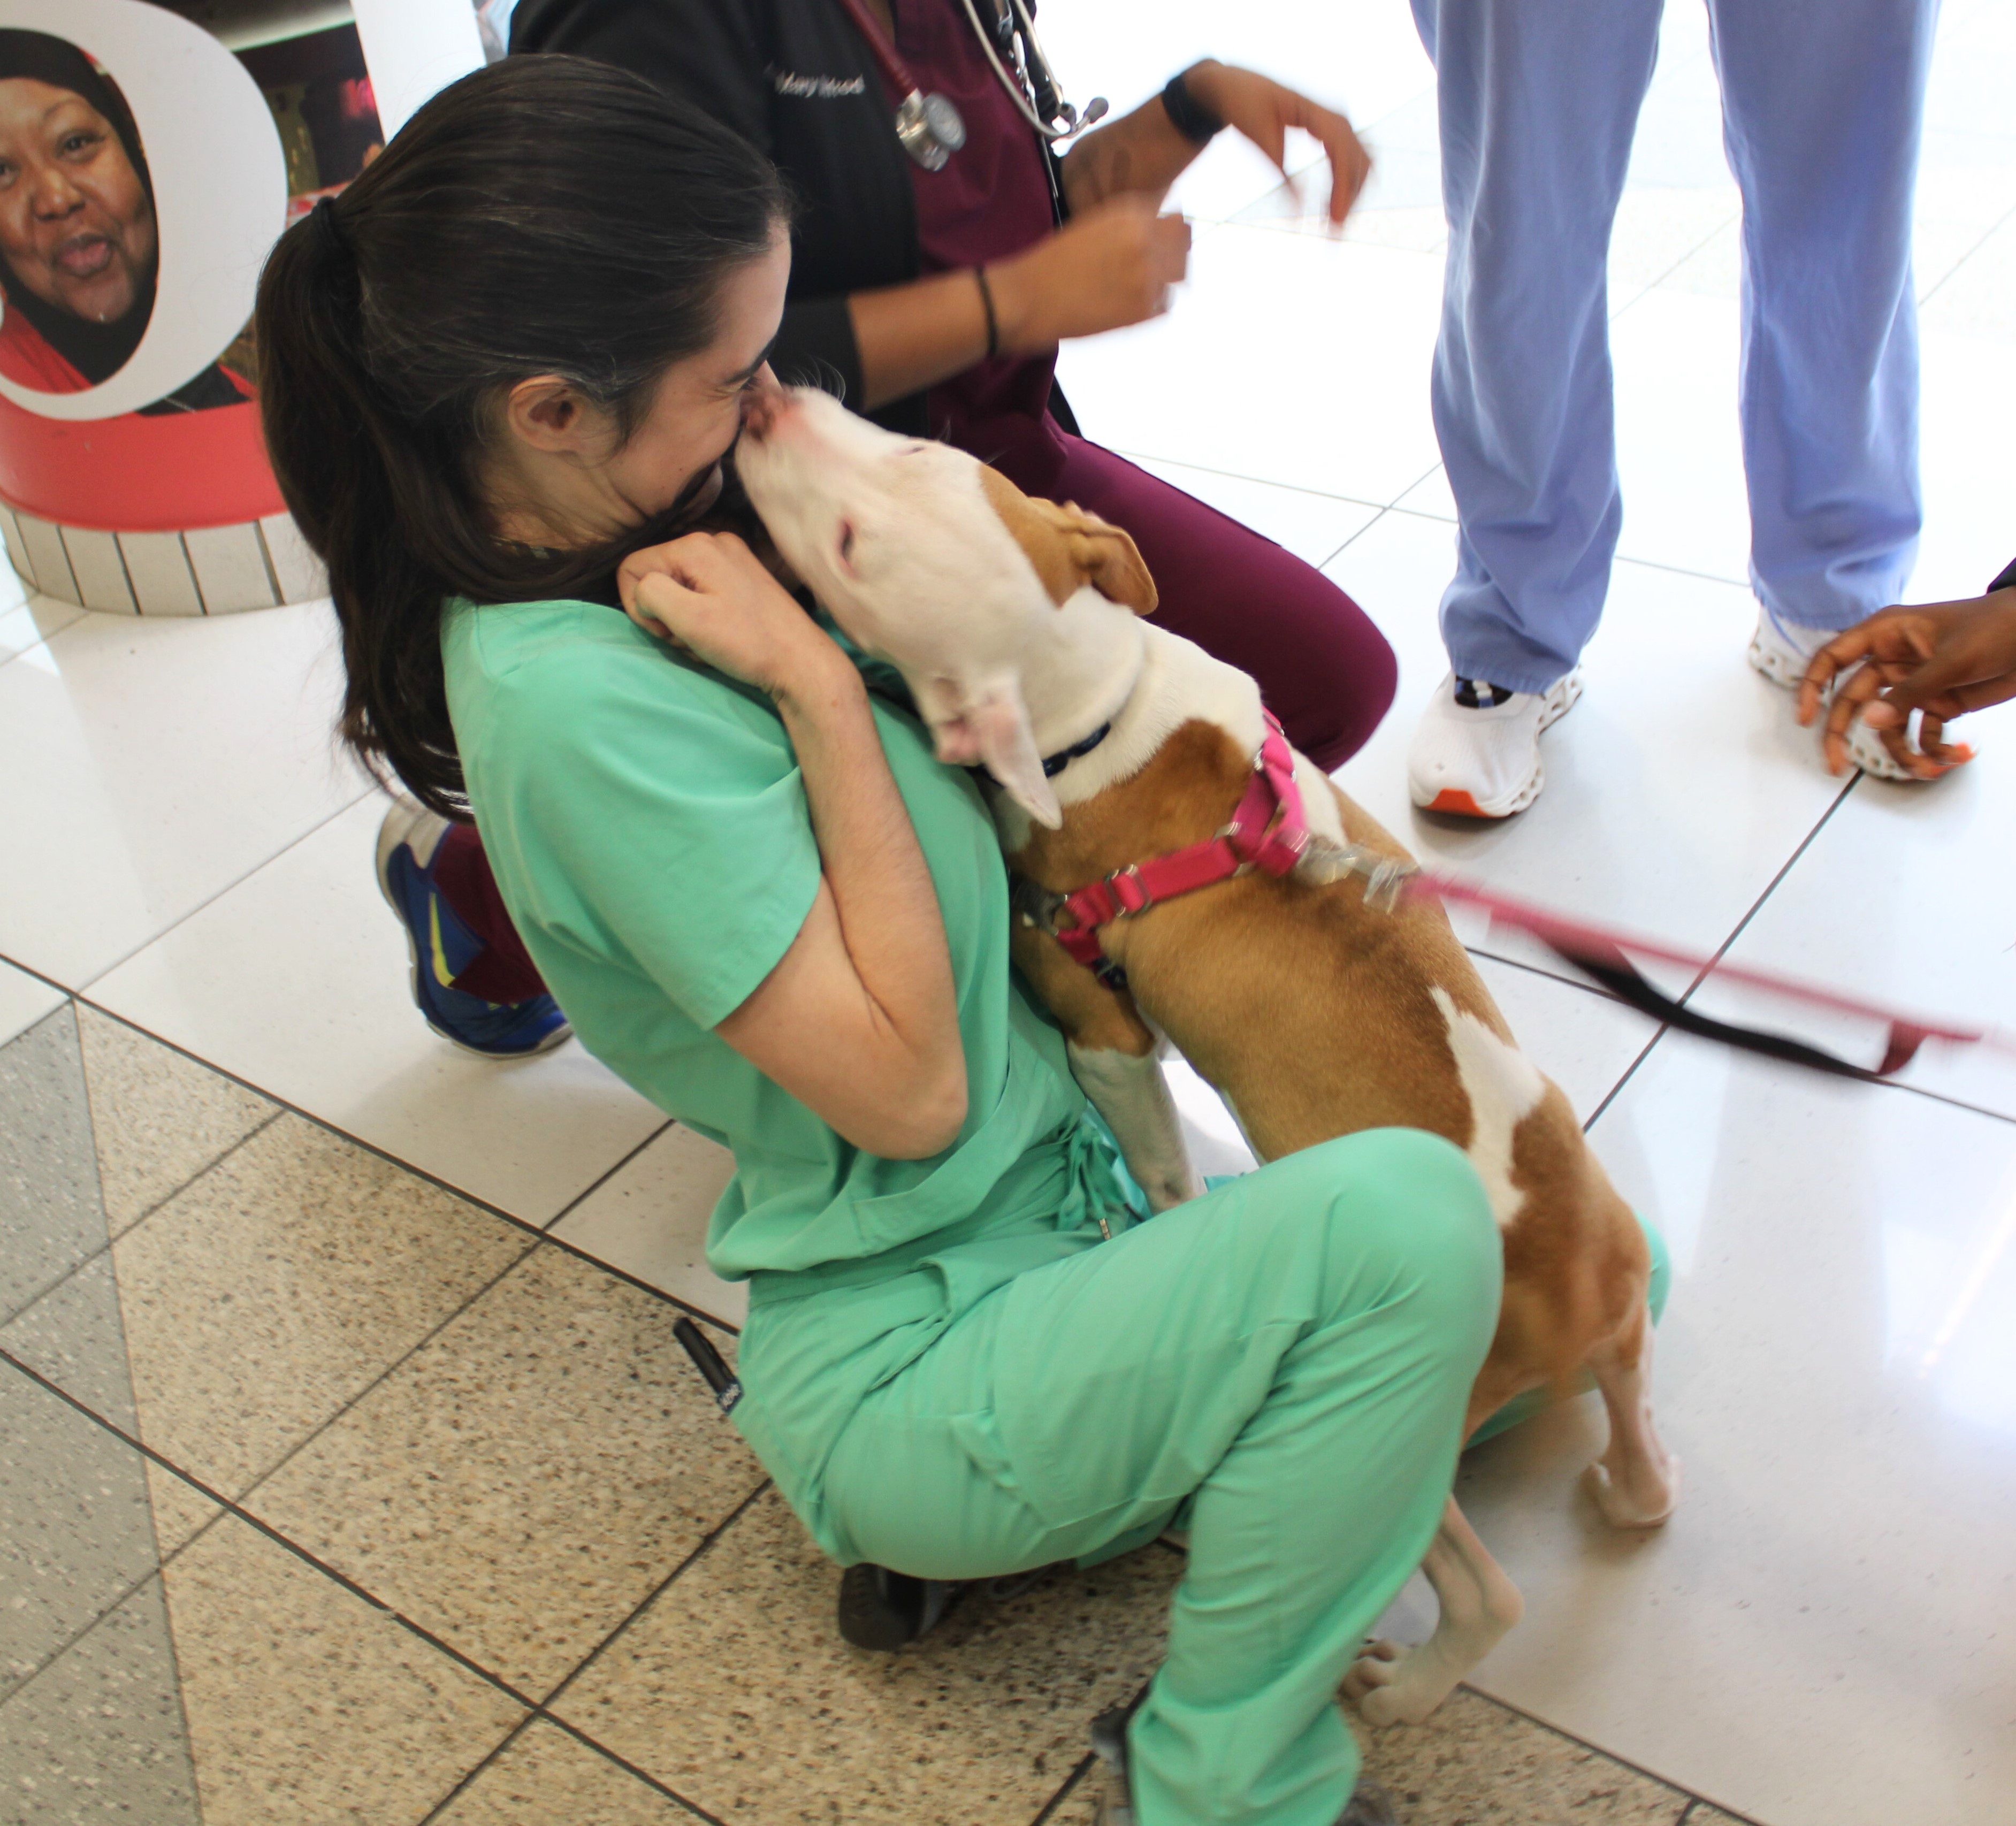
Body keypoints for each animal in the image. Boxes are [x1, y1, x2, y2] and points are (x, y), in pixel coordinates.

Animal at [734, 387, 1677, 1725]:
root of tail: (1582, 1281)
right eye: (923, 447)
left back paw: (1407, 1685)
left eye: (855, 545)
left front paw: (1160, 1217)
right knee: (1646, 1470)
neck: (1091, 710)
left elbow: (1158, 1156)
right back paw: (1626, 1486)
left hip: (1417, 1430)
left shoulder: (1109, 1031)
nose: (766, 398)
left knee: (1487, 1590)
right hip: (1625, 1334)